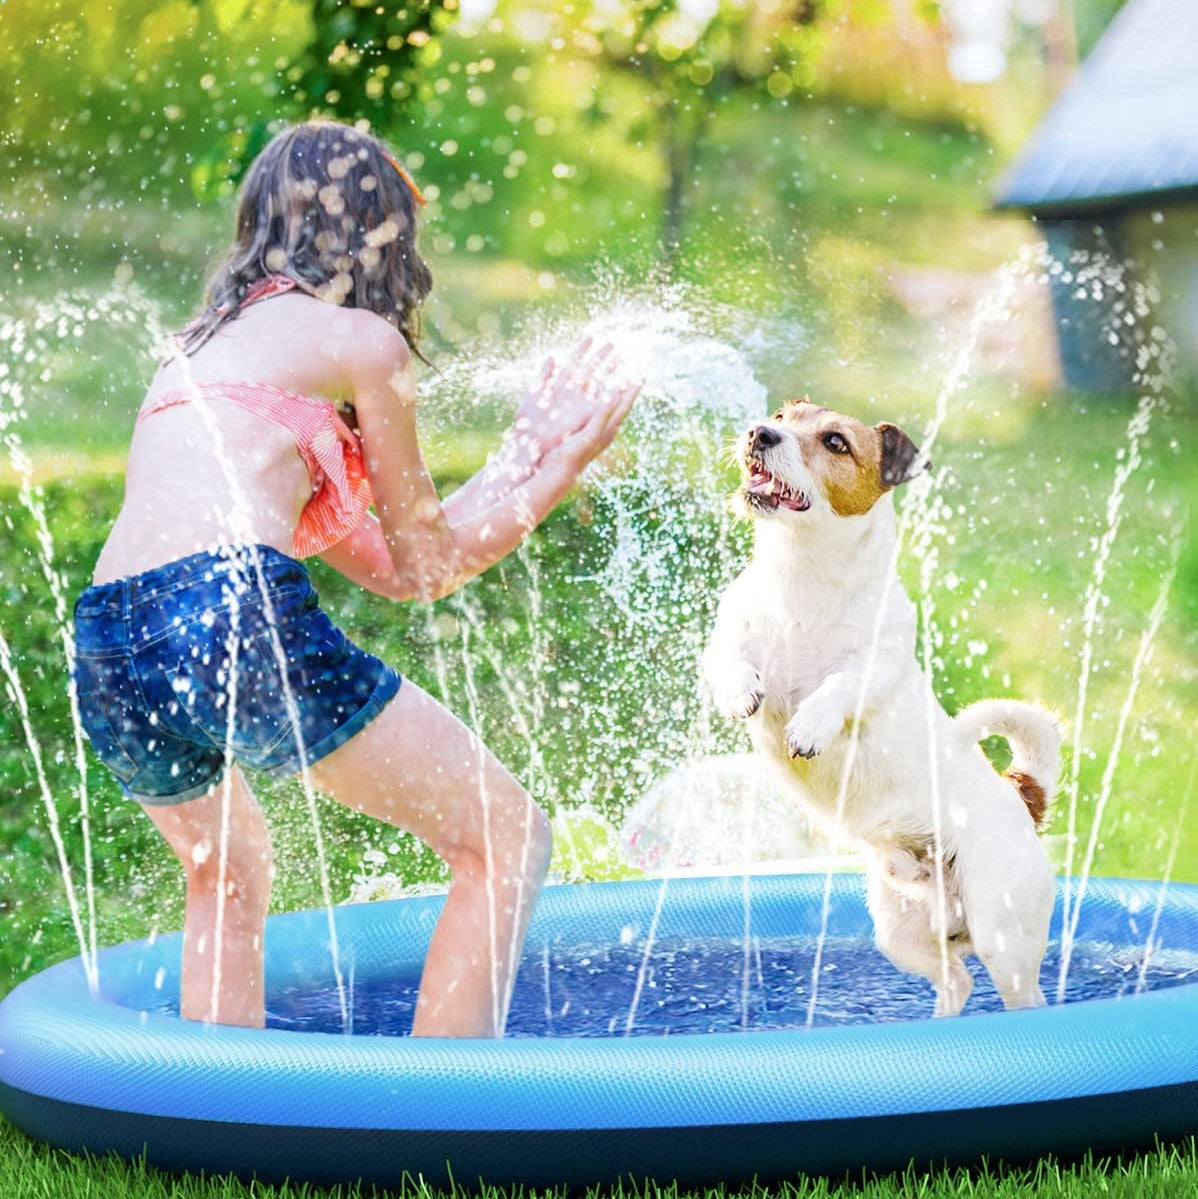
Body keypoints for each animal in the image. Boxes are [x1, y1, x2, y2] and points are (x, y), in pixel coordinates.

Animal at [700, 398, 1060, 1016]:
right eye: (782, 417)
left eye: (835, 442)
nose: (758, 433)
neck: (802, 580)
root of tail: (1020, 795)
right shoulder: (728, 635)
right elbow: (728, 659)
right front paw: (740, 691)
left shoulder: (879, 668)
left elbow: (841, 685)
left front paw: (811, 724)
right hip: (900, 928)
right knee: (956, 980)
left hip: (1003, 934)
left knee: (1021, 996)